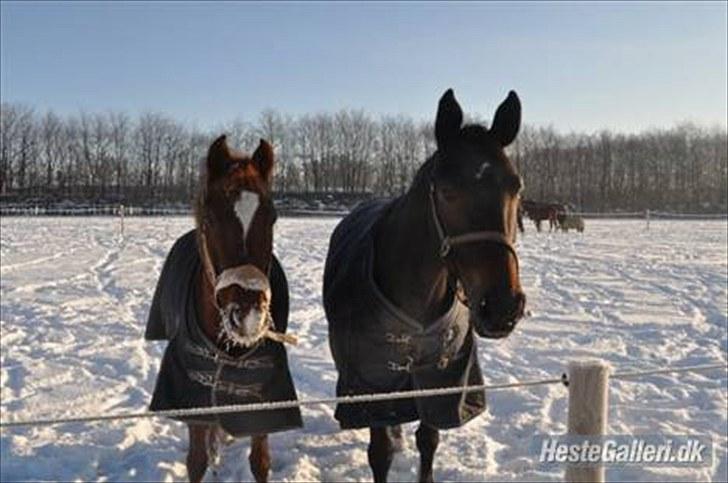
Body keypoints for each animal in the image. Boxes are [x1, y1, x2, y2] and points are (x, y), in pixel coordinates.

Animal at [145, 135, 302, 483]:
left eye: (272, 217)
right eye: (212, 218)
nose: (248, 316)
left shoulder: (262, 404)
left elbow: (260, 461)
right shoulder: (191, 398)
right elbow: (197, 460)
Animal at [322, 89, 524, 482]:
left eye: (516, 187)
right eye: (447, 191)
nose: (502, 308)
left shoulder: (443, 376)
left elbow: (429, 439)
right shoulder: (374, 382)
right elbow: (380, 452)